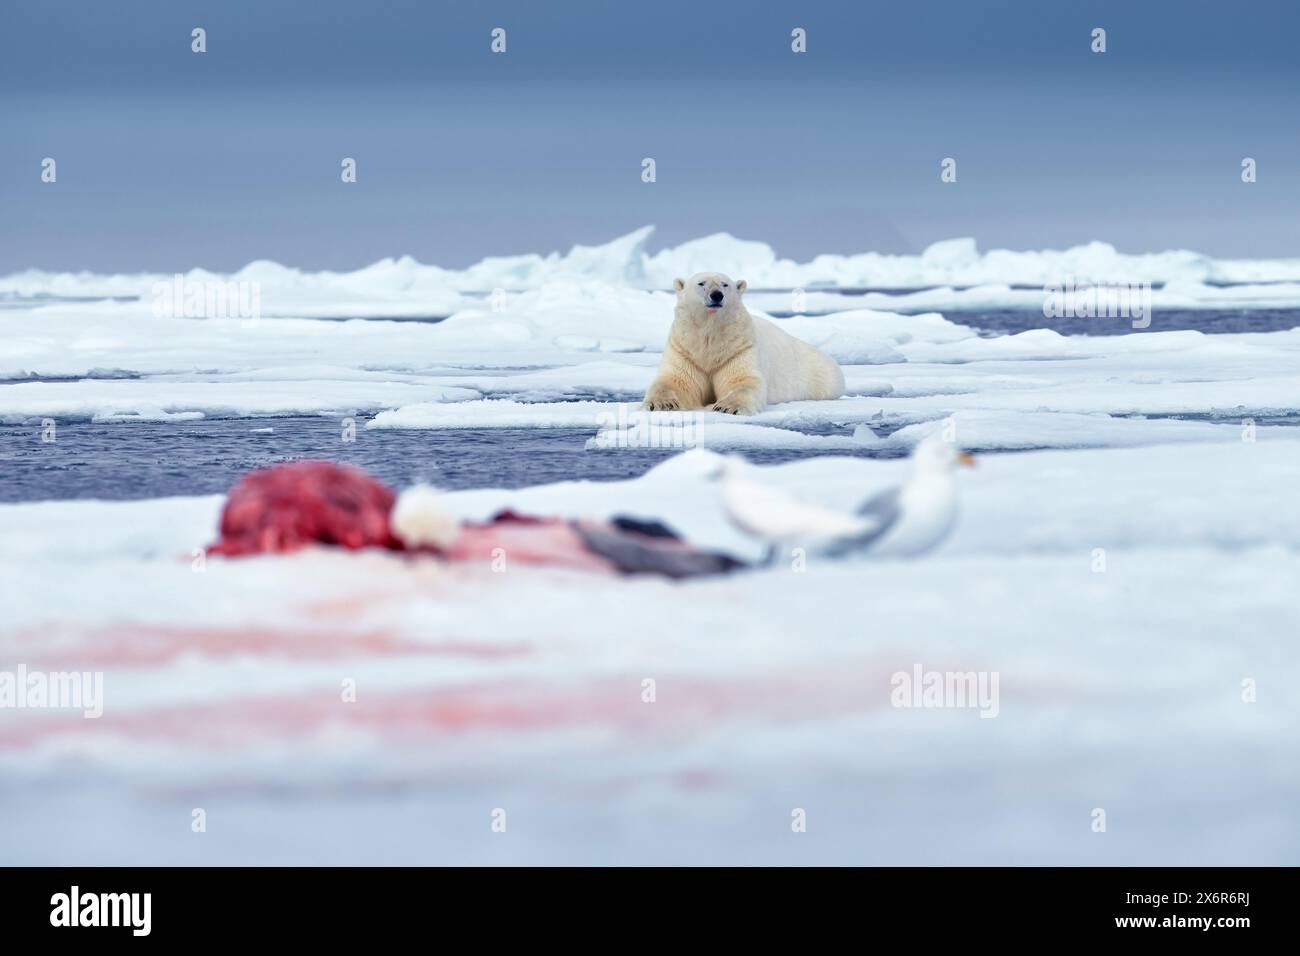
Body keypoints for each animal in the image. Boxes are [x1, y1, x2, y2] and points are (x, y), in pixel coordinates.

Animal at [639, 273, 842, 416]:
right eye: (701, 283)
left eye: (725, 284)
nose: (717, 295)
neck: (709, 337)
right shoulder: (685, 350)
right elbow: (675, 380)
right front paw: (661, 404)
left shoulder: (738, 349)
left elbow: (743, 380)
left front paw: (727, 407)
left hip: (819, 374)